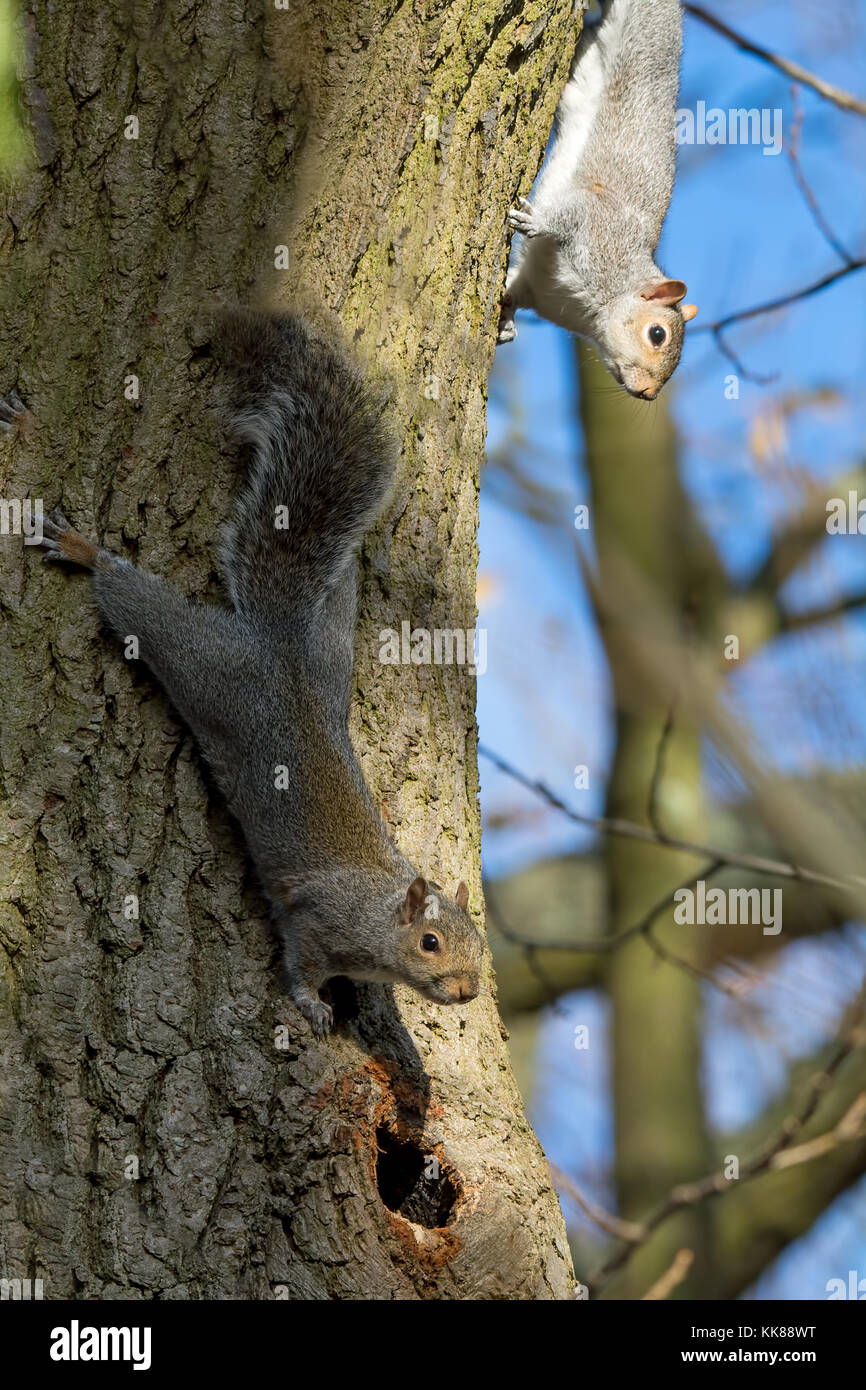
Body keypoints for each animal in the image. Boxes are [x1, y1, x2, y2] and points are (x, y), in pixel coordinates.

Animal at [27, 312, 483, 1034]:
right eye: (431, 941)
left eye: (480, 946)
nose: (467, 990)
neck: (378, 913)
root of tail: (282, 644)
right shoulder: (315, 921)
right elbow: (299, 961)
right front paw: (314, 1007)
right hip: (206, 665)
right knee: (138, 605)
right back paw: (83, 551)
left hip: (331, 647)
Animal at [497, 0, 695, 400]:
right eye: (657, 334)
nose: (648, 393)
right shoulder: (600, 221)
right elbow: (571, 213)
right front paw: (536, 223)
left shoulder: (535, 289)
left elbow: (515, 290)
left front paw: (507, 324)